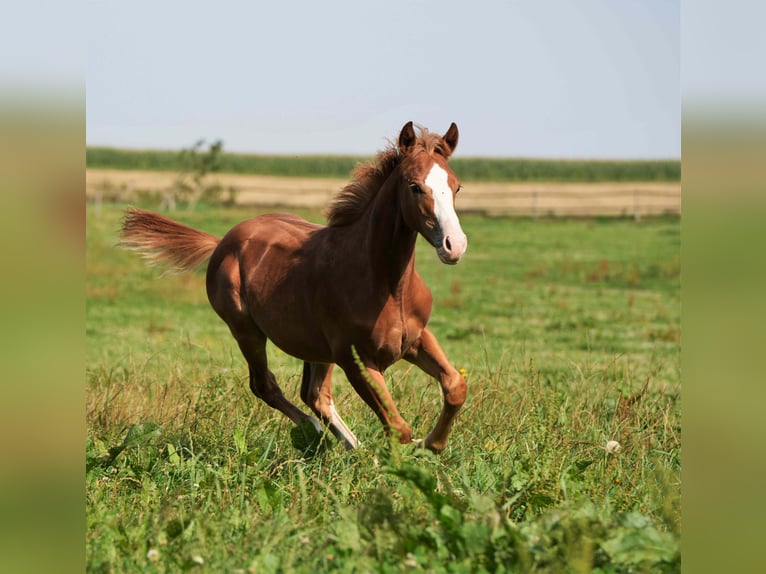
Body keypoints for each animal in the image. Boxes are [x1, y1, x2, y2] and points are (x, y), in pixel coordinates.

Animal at [119, 121, 468, 454]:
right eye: (415, 187)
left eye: (456, 186)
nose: (455, 245)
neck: (387, 285)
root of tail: (222, 242)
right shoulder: (355, 360)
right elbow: (398, 427)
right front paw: (409, 451)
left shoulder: (416, 339)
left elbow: (455, 386)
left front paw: (430, 444)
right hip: (247, 331)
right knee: (267, 386)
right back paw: (318, 434)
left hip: (316, 348)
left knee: (314, 394)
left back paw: (350, 446)